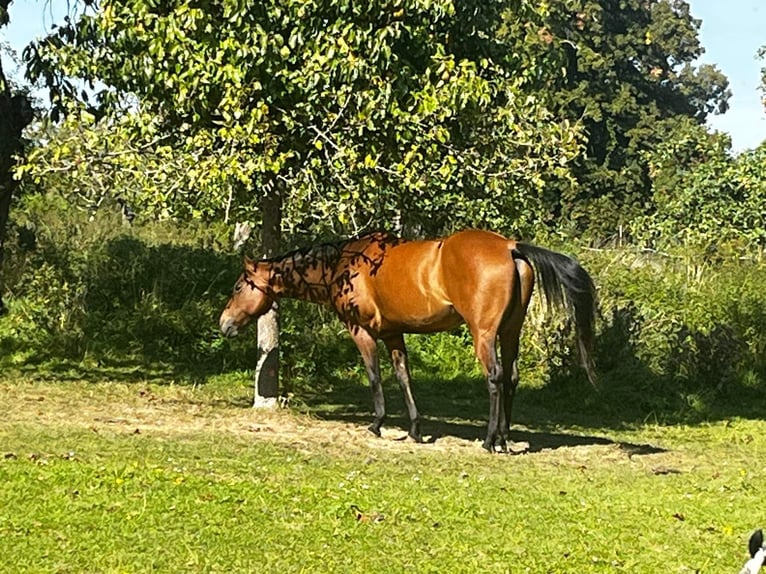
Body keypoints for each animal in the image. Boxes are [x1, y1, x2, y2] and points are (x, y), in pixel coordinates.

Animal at [219, 230, 596, 454]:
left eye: (238, 287)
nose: (224, 325)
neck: (344, 263)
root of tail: (509, 247)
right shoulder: (393, 333)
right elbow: (404, 377)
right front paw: (415, 429)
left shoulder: (362, 331)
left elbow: (374, 377)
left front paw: (377, 424)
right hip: (510, 332)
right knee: (512, 379)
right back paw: (504, 439)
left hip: (484, 335)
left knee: (495, 378)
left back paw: (490, 441)